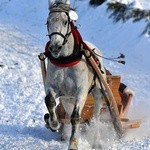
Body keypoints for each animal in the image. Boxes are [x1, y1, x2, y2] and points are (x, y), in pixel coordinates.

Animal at [44, 0, 106, 149]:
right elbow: (50, 101)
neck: (65, 60)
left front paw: (73, 144)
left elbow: (76, 117)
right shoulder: (53, 87)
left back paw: (95, 140)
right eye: (48, 22)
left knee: (96, 115)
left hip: (98, 93)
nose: (55, 47)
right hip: (67, 99)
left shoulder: (81, 92)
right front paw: (54, 124)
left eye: (65, 21)